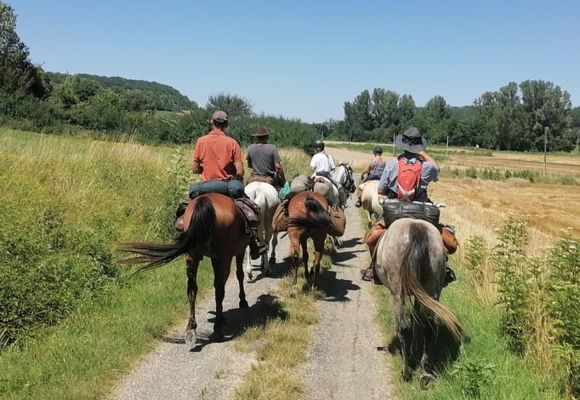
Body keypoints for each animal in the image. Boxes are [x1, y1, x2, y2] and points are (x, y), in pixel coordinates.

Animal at [120, 192, 249, 346]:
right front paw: (243, 301)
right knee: (219, 289)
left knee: (192, 288)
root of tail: (206, 201)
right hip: (222, 256)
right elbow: (239, 274)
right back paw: (217, 329)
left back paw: (191, 329)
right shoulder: (237, 251)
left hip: (192, 255)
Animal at [376, 219, 462, 388]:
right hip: (432, 289)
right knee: (429, 327)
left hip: (397, 292)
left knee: (403, 328)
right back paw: (424, 371)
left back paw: (406, 373)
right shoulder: (418, 293)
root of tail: (416, 228)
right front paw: (415, 345)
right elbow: (416, 315)